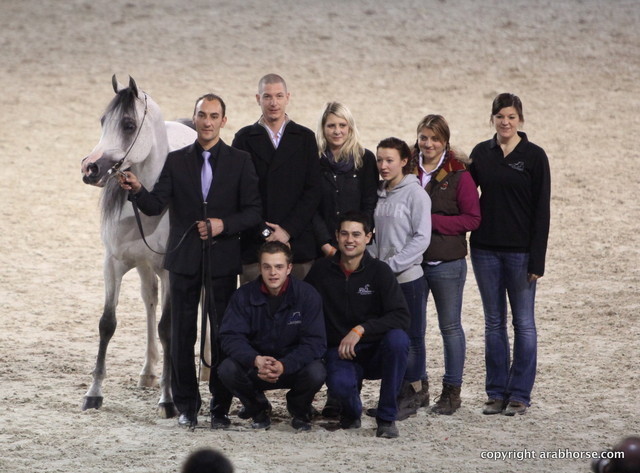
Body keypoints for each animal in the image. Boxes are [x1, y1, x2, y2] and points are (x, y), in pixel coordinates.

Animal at [80, 75, 196, 417]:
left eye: (129, 124)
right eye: (103, 120)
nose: (90, 168)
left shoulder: (171, 272)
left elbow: (167, 328)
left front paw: (168, 399)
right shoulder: (113, 265)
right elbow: (107, 323)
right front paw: (93, 393)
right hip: (145, 268)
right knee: (149, 301)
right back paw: (147, 372)